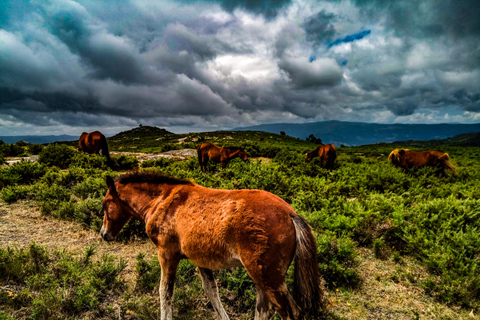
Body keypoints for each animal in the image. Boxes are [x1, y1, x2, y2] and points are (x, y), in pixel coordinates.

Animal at [101, 172, 326, 320]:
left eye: (105, 204)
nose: (104, 234)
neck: (162, 201)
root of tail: (291, 214)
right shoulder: (201, 259)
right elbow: (211, 291)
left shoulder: (167, 254)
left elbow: (165, 292)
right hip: (261, 276)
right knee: (264, 309)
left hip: (267, 276)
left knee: (288, 312)